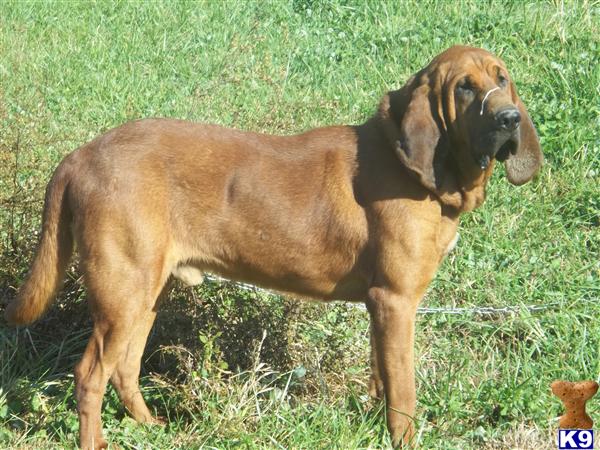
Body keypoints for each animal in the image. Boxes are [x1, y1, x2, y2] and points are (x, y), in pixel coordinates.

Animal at [4, 46, 540, 450]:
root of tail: (79, 155)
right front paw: (403, 440)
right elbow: (404, 391)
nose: (510, 119)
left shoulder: (383, 308)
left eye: (502, 78)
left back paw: (153, 428)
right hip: (123, 294)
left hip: (144, 295)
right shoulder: (396, 300)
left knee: (126, 370)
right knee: (90, 375)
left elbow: (382, 377)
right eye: (465, 87)